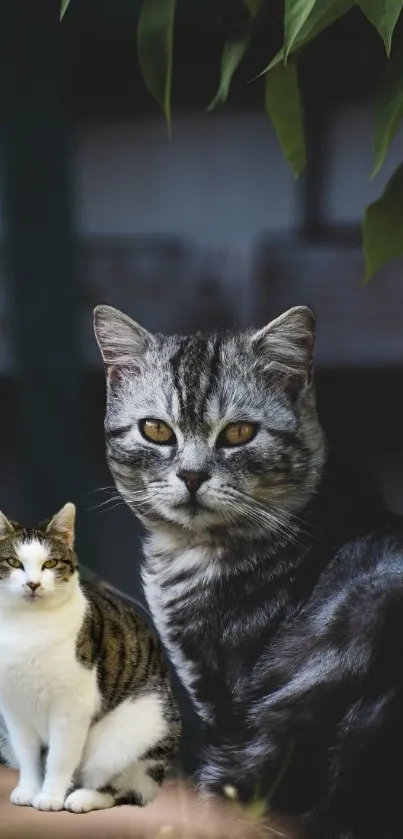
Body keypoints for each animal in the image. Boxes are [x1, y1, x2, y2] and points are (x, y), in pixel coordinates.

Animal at [0, 506, 181, 812]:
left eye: (50, 563)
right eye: (13, 562)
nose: (32, 584)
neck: (26, 626)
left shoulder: (72, 707)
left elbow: (60, 758)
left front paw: (50, 797)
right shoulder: (14, 708)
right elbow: (27, 755)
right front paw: (28, 789)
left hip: (135, 735)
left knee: (128, 790)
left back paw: (83, 797)